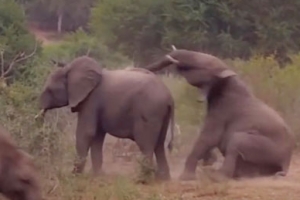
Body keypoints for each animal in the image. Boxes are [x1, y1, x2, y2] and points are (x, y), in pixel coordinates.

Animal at [36, 55, 175, 180]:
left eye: (49, 90)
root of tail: (169, 97)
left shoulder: (91, 100)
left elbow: (86, 133)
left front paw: (74, 176)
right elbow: (97, 137)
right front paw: (98, 176)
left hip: (149, 111)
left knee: (146, 145)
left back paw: (143, 179)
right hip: (160, 113)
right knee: (159, 144)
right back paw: (163, 179)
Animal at [145, 49, 296, 180]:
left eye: (200, 66)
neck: (226, 77)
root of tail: (286, 162)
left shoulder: (223, 110)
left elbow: (209, 137)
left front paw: (186, 178)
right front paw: (209, 161)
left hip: (267, 148)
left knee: (237, 140)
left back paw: (217, 177)